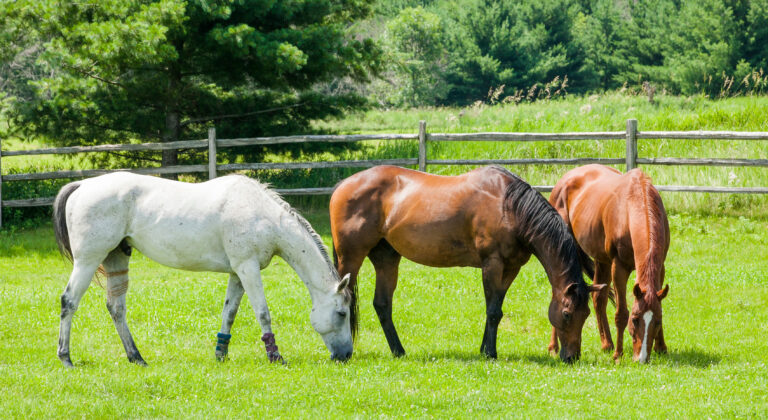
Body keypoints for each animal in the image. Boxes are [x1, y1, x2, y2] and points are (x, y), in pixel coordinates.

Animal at [52, 172, 353, 367]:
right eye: (342, 313)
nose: (346, 355)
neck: (263, 216)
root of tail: (83, 185)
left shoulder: (238, 273)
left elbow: (229, 313)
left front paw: (221, 354)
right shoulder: (248, 269)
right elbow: (263, 313)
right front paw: (275, 356)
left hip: (116, 257)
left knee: (116, 308)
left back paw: (136, 357)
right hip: (88, 260)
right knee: (68, 302)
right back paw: (66, 357)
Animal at [329, 165, 606, 363]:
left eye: (586, 314)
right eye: (567, 313)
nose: (571, 358)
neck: (509, 207)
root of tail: (342, 186)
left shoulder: (511, 269)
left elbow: (496, 309)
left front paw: (485, 349)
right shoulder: (492, 264)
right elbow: (493, 311)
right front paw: (490, 353)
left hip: (386, 258)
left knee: (383, 305)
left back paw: (399, 351)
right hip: (351, 258)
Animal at [548, 164, 670, 363]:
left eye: (657, 321)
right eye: (635, 319)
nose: (641, 358)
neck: (632, 206)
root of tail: (565, 179)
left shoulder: (660, 268)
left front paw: (661, 347)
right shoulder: (619, 267)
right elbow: (621, 314)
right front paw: (618, 355)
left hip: (601, 260)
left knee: (599, 298)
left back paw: (607, 343)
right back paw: (553, 347)